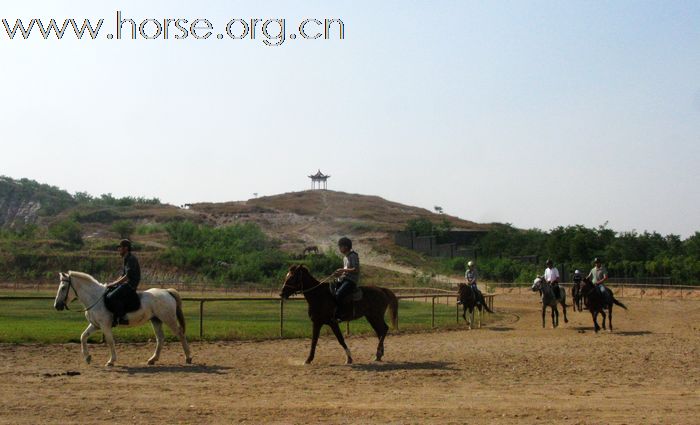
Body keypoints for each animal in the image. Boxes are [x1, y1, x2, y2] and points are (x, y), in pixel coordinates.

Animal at [53, 274, 193, 366]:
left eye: (63, 287)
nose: (57, 305)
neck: (95, 298)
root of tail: (166, 291)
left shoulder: (105, 326)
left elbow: (110, 341)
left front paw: (111, 361)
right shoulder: (95, 325)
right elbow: (83, 337)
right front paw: (87, 358)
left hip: (168, 319)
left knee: (180, 334)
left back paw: (188, 358)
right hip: (156, 320)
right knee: (160, 338)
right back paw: (152, 359)